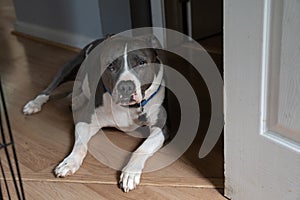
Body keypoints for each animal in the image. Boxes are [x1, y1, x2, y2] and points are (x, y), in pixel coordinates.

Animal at [23, 34, 169, 192]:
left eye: (142, 62)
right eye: (111, 66)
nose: (125, 87)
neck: (128, 108)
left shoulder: (161, 128)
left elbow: (142, 149)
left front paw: (130, 172)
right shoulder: (86, 121)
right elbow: (80, 145)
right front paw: (70, 162)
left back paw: (76, 99)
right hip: (70, 68)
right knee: (49, 88)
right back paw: (35, 104)